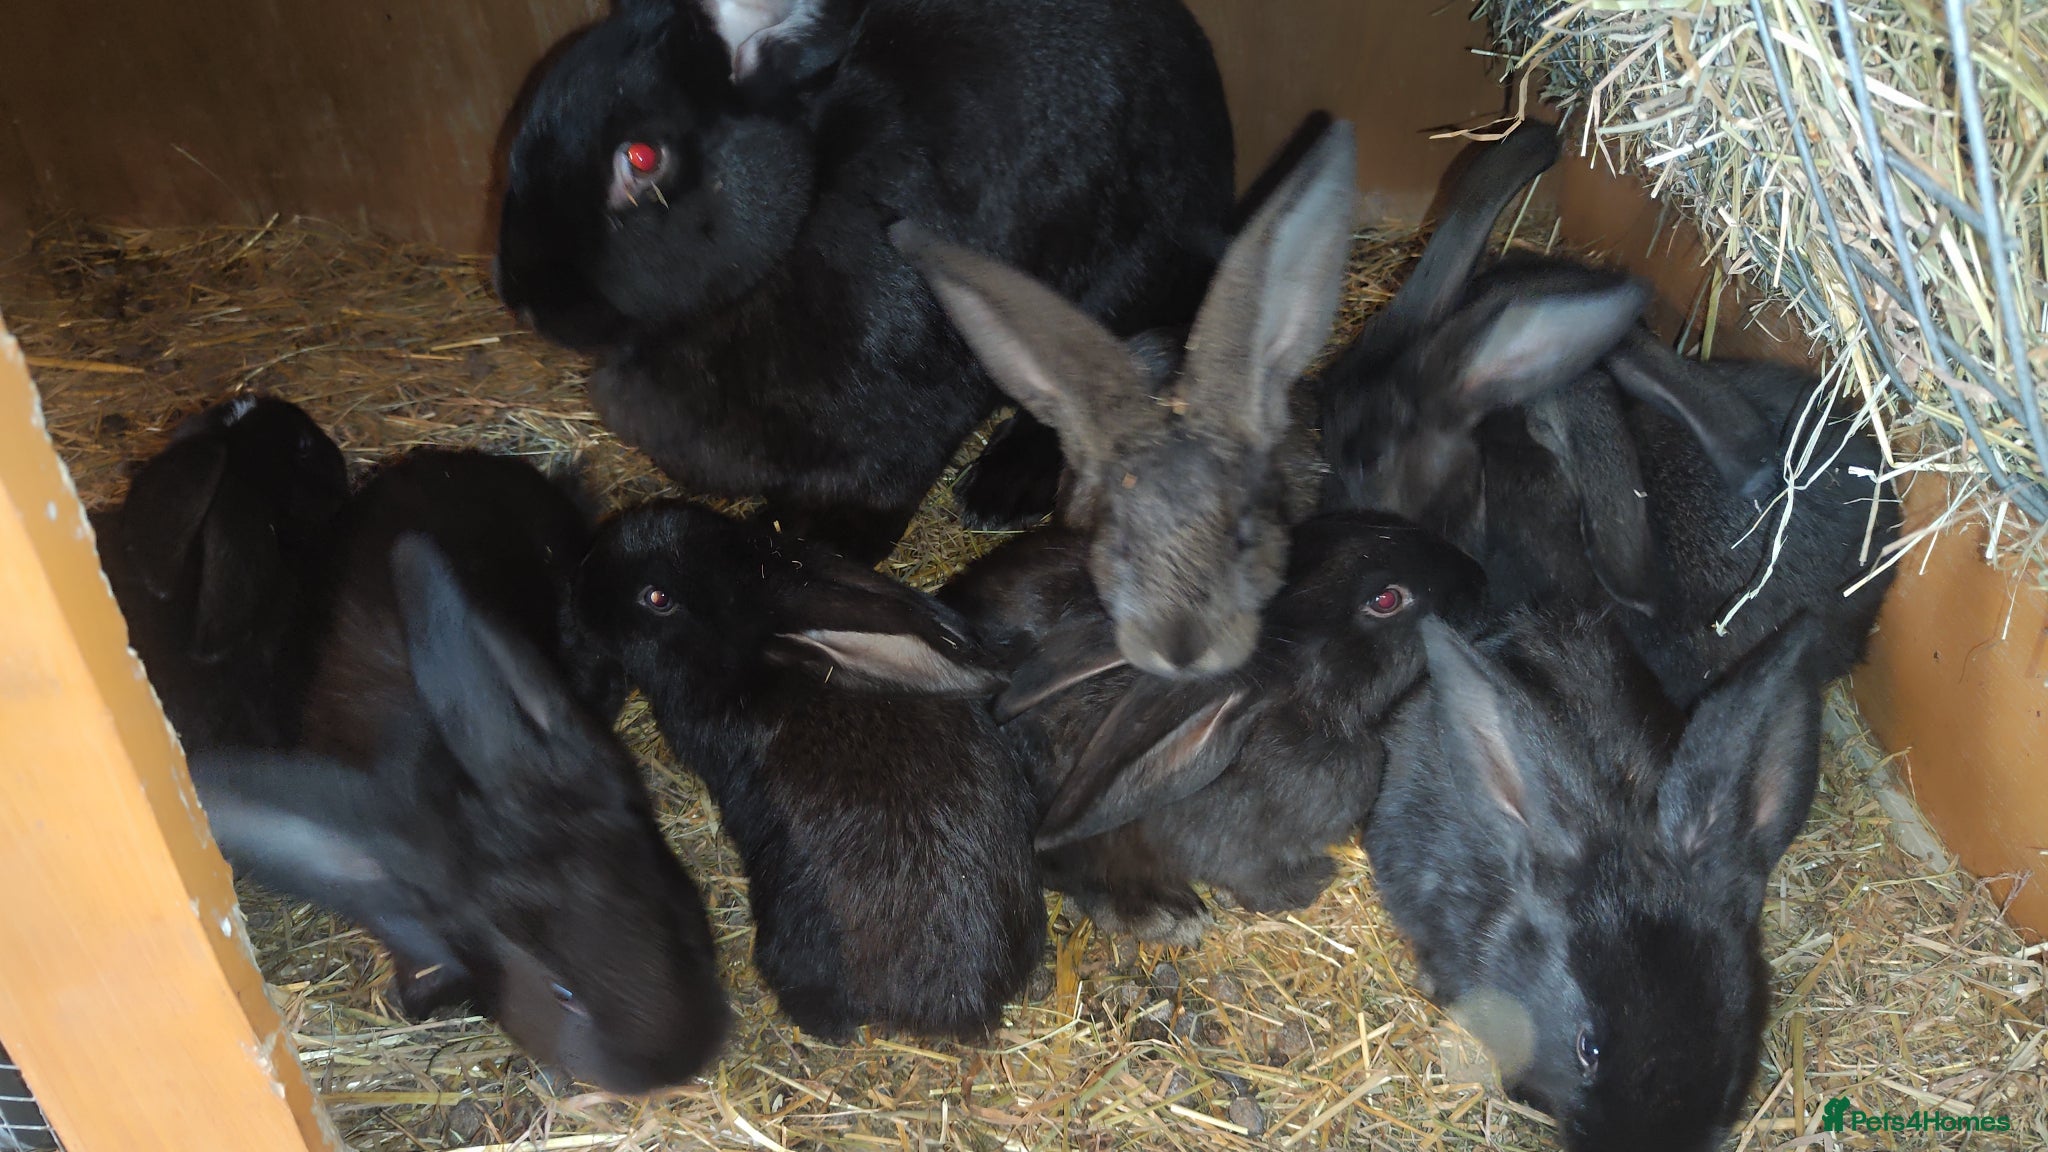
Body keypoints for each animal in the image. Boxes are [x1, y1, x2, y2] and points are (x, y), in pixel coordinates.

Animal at [495, 0, 1237, 560]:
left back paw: (999, 491)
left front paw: (826, 545)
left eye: (643, 159)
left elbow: (883, 487)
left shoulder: (922, 406)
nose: (523, 300)